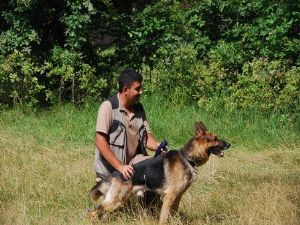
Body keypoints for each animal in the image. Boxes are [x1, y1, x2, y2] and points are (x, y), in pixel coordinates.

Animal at [88, 122, 230, 224]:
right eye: (215, 138)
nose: (229, 144)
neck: (187, 158)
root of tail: (115, 174)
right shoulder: (169, 197)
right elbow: (163, 218)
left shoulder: (177, 197)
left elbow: (173, 214)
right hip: (115, 201)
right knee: (93, 212)